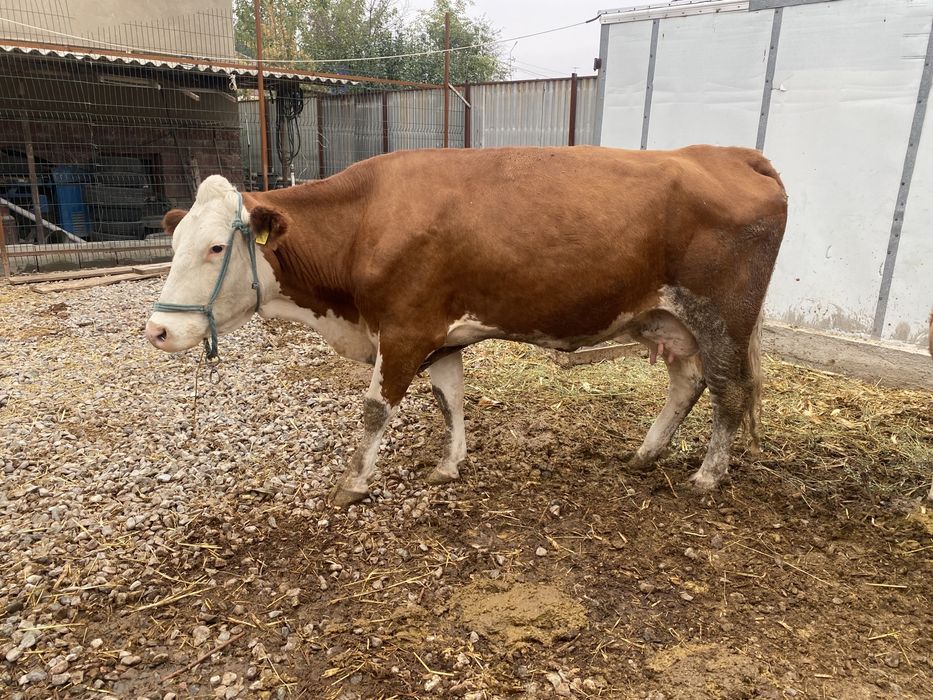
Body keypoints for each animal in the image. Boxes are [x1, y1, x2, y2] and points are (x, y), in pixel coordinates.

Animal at [145, 145, 788, 506]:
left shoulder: (404, 330)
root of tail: (731, 152)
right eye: (172, 244)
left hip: (721, 317)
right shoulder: (437, 334)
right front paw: (450, 465)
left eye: (216, 247)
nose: (157, 331)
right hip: (668, 319)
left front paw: (353, 483)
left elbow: (375, 410)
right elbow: (449, 398)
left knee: (730, 392)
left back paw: (707, 476)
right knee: (688, 382)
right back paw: (645, 454)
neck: (364, 222)